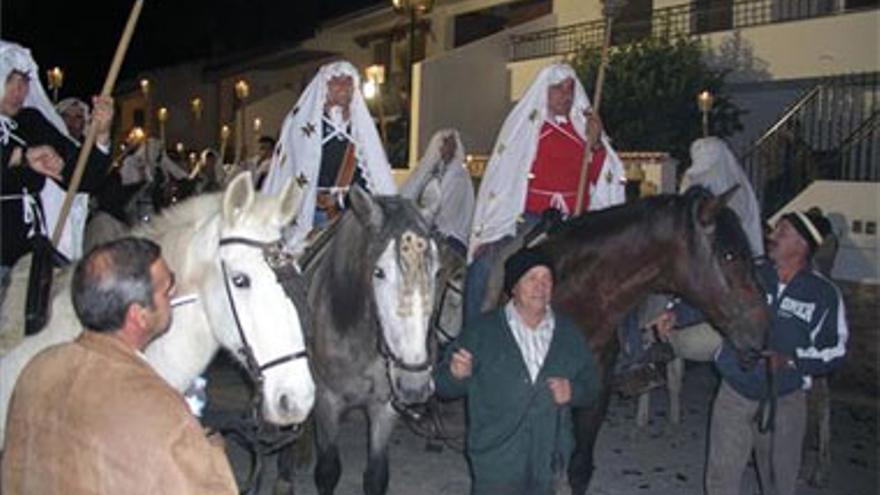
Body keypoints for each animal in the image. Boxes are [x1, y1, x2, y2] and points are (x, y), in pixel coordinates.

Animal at [284, 189, 440, 495]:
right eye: (379, 272)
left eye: (436, 271)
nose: (414, 385)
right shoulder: (327, 401)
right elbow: (328, 471)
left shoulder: (385, 406)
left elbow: (376, 476)